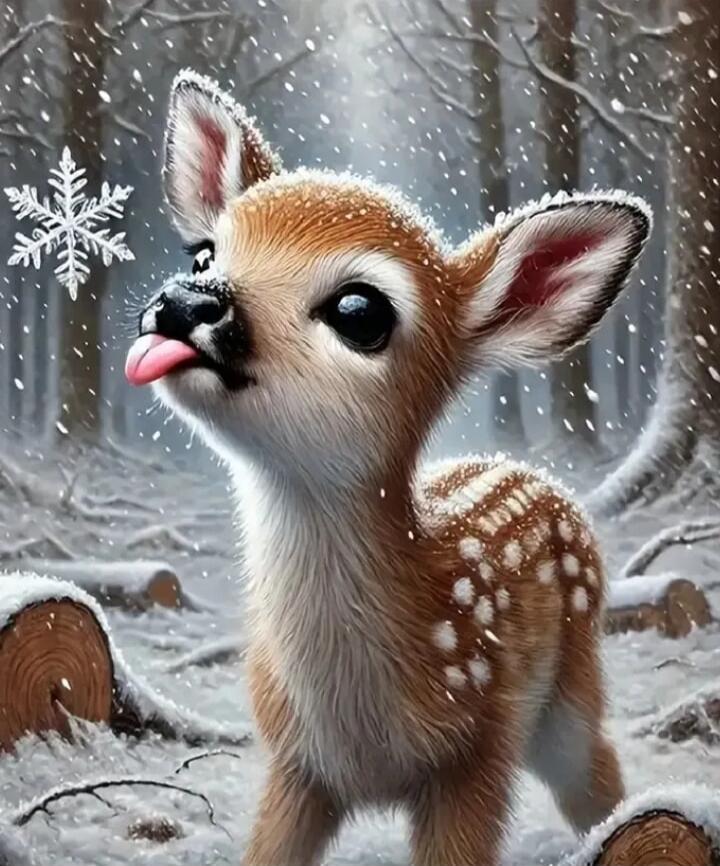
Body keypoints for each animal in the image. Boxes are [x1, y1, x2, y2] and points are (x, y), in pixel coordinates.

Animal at [126, 69, 651, 866]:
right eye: (204, 255)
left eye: (359, 310)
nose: (185, 301)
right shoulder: (293, 765)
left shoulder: (478, 753)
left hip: (570, 684)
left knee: (597, 770)